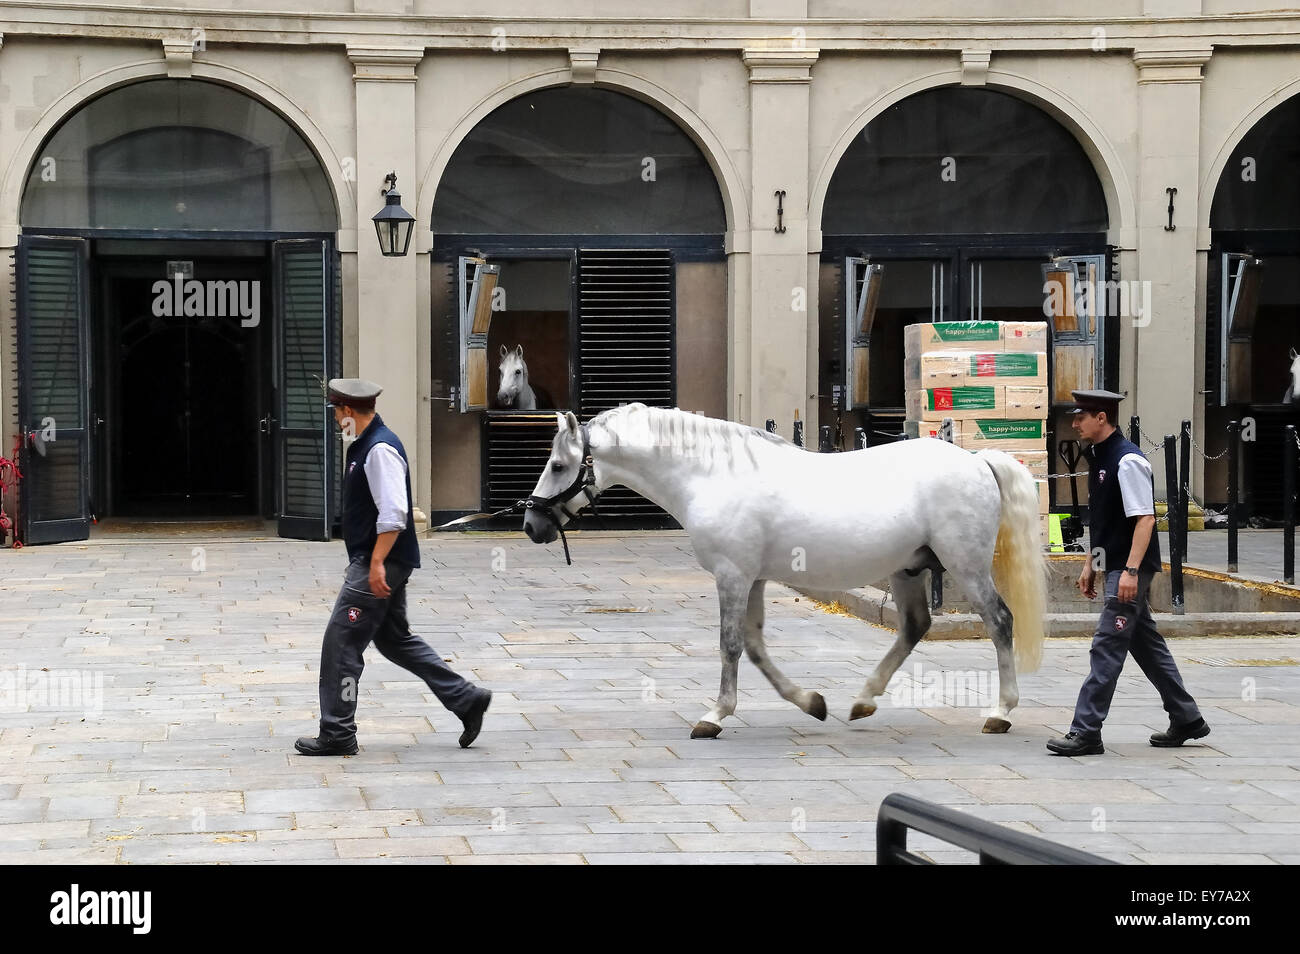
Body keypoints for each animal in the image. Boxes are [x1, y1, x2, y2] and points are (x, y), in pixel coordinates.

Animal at [522, 404, 1047, 740]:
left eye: (558, 464)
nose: (531, 525)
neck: (711, 475)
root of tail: (976, 460)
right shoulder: (751, 578)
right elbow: (754, 648)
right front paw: (811, 702)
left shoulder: (732, 575)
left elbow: (731, 646)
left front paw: (714, 716)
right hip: (908, 570)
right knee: (915, 626)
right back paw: (863, 700)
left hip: (965, 566)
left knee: (1000, 622)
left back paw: (1000, 712)